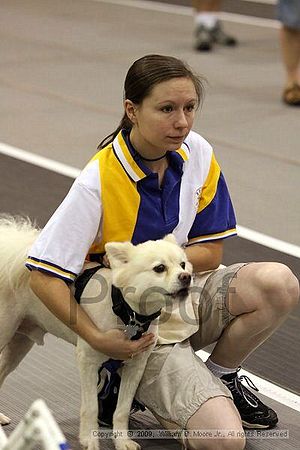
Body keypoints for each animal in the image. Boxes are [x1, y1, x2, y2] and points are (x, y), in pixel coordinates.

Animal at [0, 214, 192, 450]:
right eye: (159, 268)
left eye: (182, 264)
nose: (186, 276)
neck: (127, 312)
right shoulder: (88, 362)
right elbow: (90, 407)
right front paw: (89, 439)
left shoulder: (135, 367)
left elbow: (121, 411)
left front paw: (122, 441)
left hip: (19, 344)